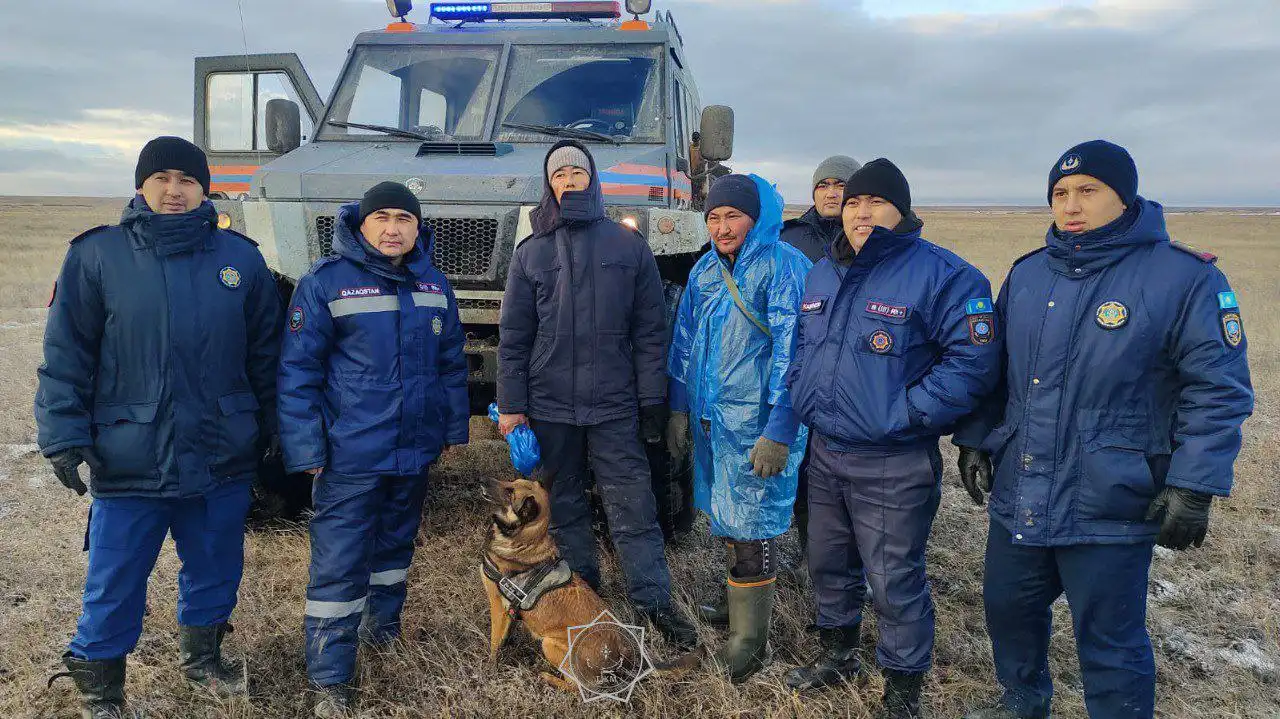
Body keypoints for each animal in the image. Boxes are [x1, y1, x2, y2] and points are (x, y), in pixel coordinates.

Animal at [483, 475, 655, 690]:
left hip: (549, 644)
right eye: (511, 482)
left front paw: (491, 668)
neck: (526, 542)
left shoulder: (496, 604)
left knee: (576, 688)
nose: (483, 481)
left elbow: (494, 642)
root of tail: (620, 654)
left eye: (509, 493)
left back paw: (548, 678)